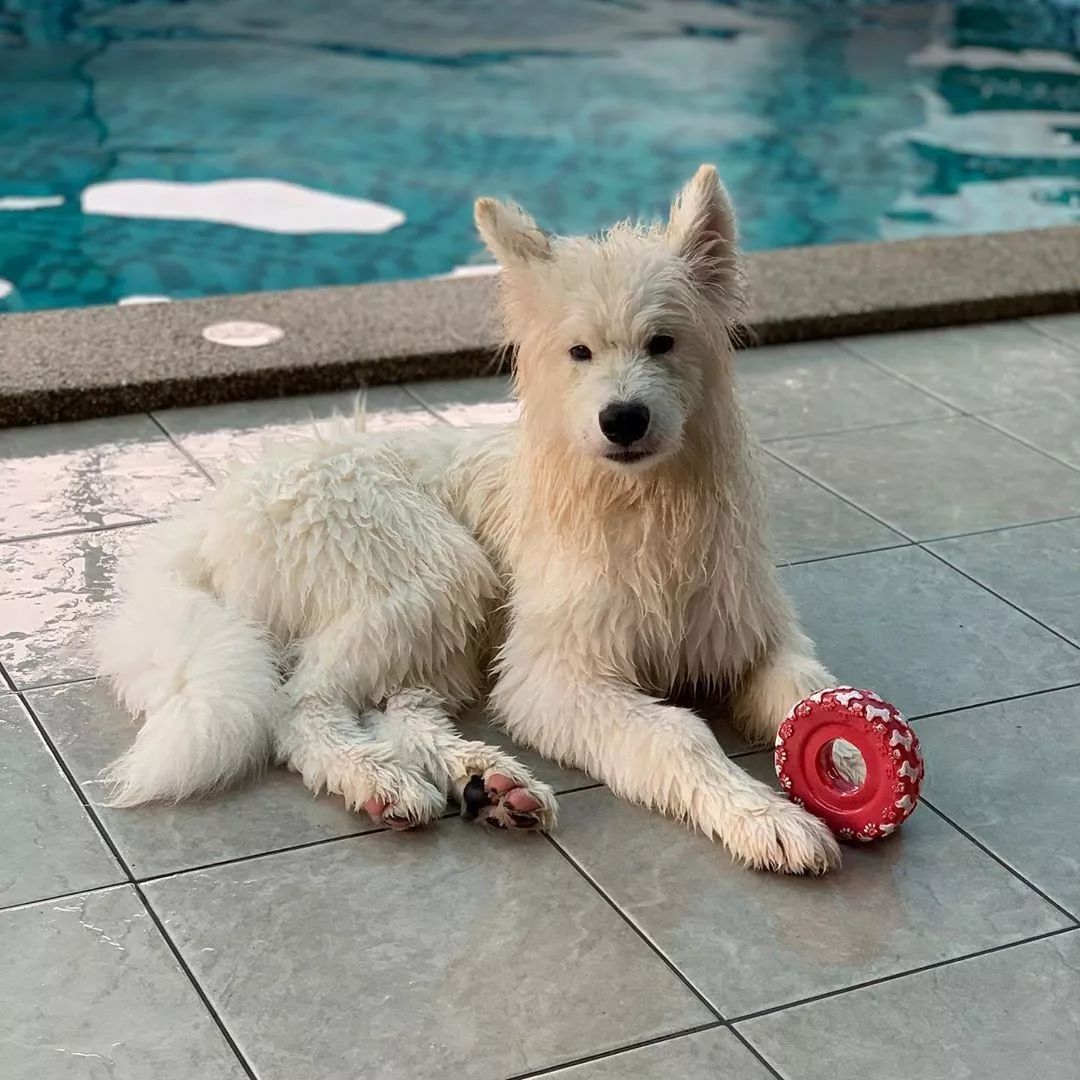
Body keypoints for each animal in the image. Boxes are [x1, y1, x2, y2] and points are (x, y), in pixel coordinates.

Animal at [99, 170, 842, 876]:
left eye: (663, 342)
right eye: (578, 352)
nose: (623, 420)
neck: (640, 504)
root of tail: (216, 512)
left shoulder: (754, 637)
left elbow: (810, 691)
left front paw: (845, 764)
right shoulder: (554, 677)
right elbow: (678, 735)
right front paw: (765, 819)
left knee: (399, 702)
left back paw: (488, 782)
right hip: (437, 569)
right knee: (302, 705)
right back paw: (382, 780)